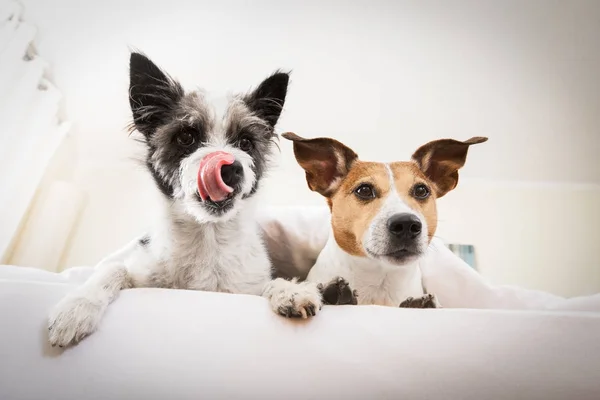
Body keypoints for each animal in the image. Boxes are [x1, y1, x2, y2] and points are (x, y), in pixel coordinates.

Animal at [48, 52, 324, 346]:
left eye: (246, 143)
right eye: (186, 137)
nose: (230, 168)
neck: (207, 238)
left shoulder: (245, 287)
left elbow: (269, 284)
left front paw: (291, 291)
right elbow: (113, 269)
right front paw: (77, 307)